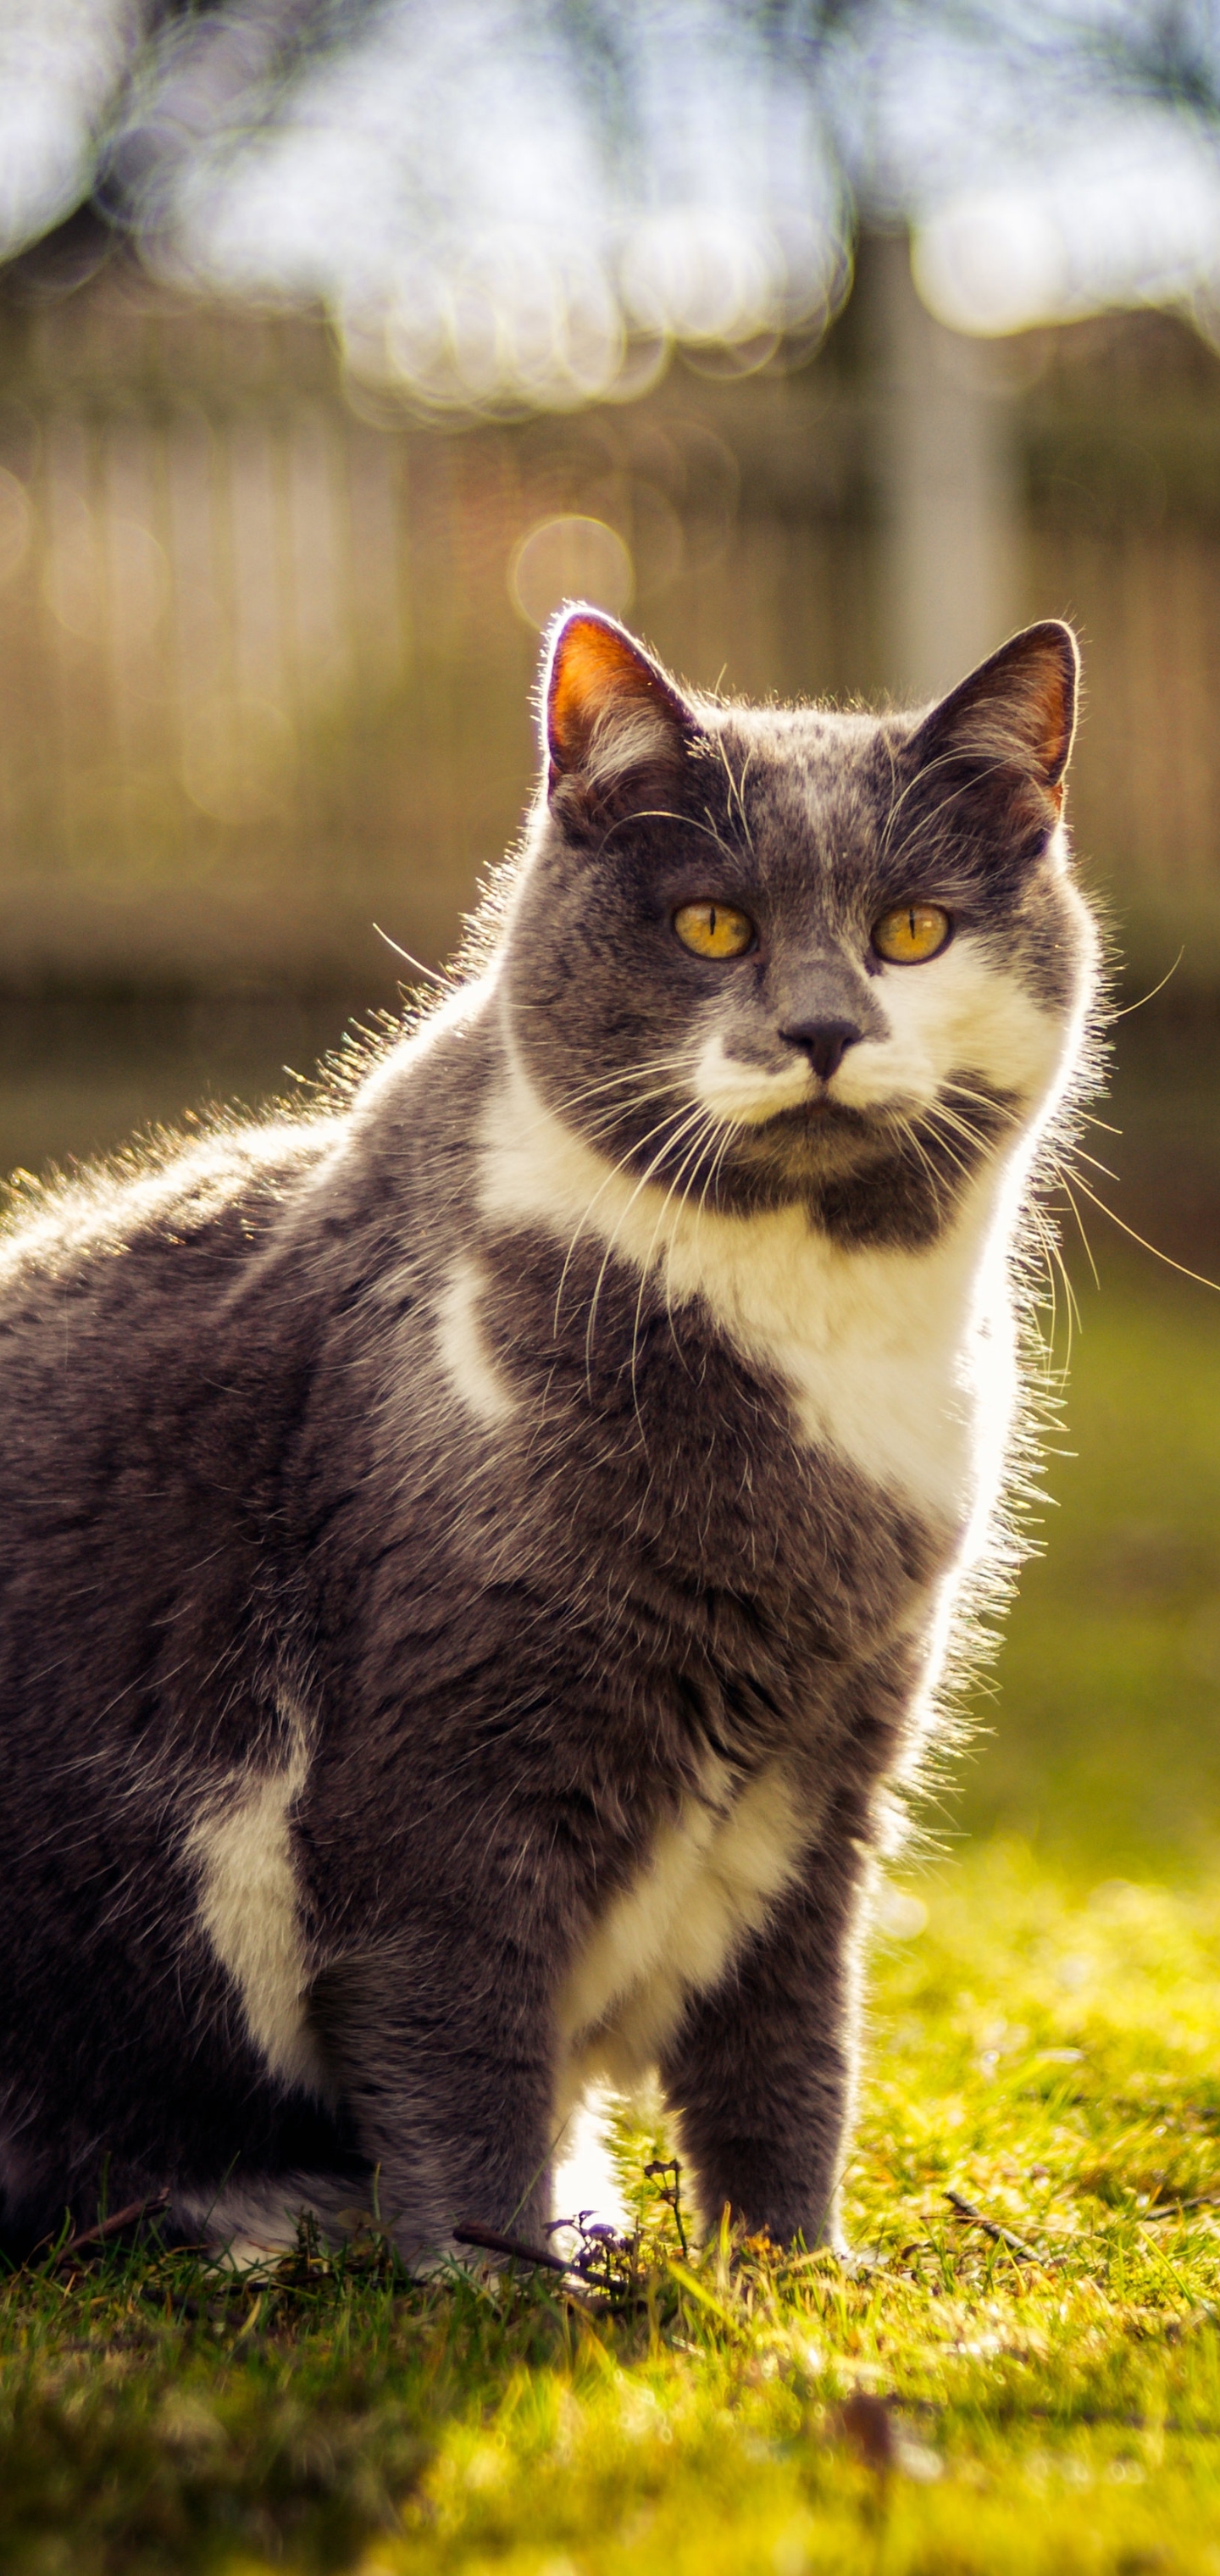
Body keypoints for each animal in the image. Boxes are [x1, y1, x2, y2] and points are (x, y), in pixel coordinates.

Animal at [0, 602, 1096, 2257]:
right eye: (711, 927)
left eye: (915, 930)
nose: (823, 1027)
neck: (813, 1339)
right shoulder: (451, 1750)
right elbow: (458, 2025)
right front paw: (497, 2276)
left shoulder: (834, 1756)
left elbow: (793, 2038)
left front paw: (790, 2271)